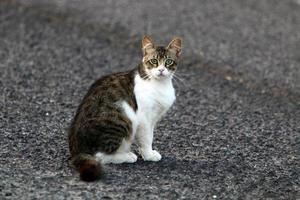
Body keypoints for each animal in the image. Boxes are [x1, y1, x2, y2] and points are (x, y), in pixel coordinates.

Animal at [68, 36, 182, 181]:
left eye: (168, 61)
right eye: (154, 61)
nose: (161, 70)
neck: (159, 84)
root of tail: (76, 150)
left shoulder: (153, 119)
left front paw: (147, 153)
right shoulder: (144, 118)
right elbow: (146, 138)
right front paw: (149, 155)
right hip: (124, 119)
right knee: (100, 156)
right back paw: (127, 156)